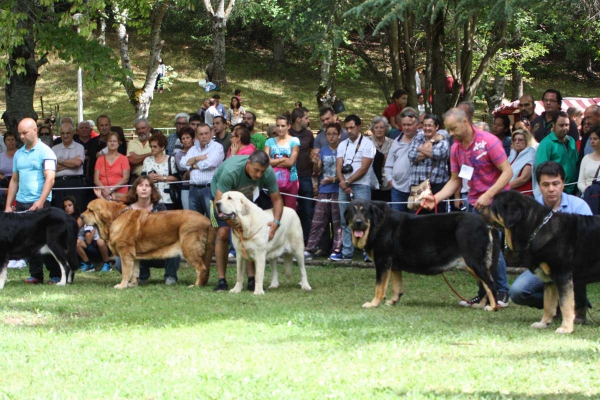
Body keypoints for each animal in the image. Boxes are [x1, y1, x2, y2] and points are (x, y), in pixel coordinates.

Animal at [81, 198, 214, 290]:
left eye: (90, 210)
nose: (81, 216)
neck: (115, 218)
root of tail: (207, 220)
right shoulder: (134, 257)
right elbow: (134, 272)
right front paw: (132, 284)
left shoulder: (125, 254)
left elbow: (126, 272)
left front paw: (122, 285)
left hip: (189, 249)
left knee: (201, 268)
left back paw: (196, 285)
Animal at [344, 202, 500, 310]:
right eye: (352, 211)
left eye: (364, 211)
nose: (358, 223)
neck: (378, 225)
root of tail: (486, 225)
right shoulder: (394, 266)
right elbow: (397, 287)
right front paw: (393, 301)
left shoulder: (383, 261)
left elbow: (379, 286)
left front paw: (374, 303)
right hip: (471, 265)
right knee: (485, 286)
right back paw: (480, 305)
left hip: (474, 261)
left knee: (490, 284)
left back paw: (493, 307)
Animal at [488, 191, 600, 334]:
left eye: (493, 205)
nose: (479, 207)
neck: (536, 228)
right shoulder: (549, 280)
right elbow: (548, 304)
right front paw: (543, 323)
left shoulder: (563, 276)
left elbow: (565, 304)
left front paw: (566, 328)